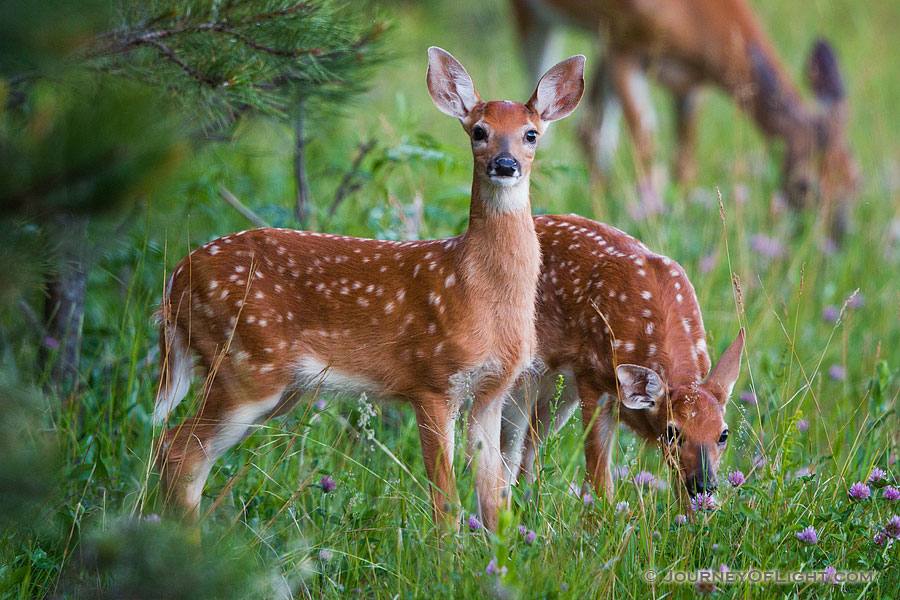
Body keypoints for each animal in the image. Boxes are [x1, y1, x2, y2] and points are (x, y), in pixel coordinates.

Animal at [151, 47, 588, 528]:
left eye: (531, 135)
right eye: (479, 131)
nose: (505, 165)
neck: (476, 289)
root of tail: (175, 281)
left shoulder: (492, 390)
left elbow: (494, 502)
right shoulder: (431, 379)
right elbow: (445, 502)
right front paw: (447, 549)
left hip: (274, 385)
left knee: (185, 453)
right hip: (244, 364)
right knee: (178, 449)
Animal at [500, 216, 744, 506]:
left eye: (723, 434)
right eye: (673, 431)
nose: (704, 484)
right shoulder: (591, 376)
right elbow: (599, 483)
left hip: (557, 395)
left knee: (527, 454)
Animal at [512, 0, 856, 230]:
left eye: (855, 180)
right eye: (805, 185)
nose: (835, 239)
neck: (697, 19)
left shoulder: (690, 84)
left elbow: (684, 161)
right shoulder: (625, 44)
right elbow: (647, 150)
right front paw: (650, 220)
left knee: (589, 129)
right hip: (538, 17)